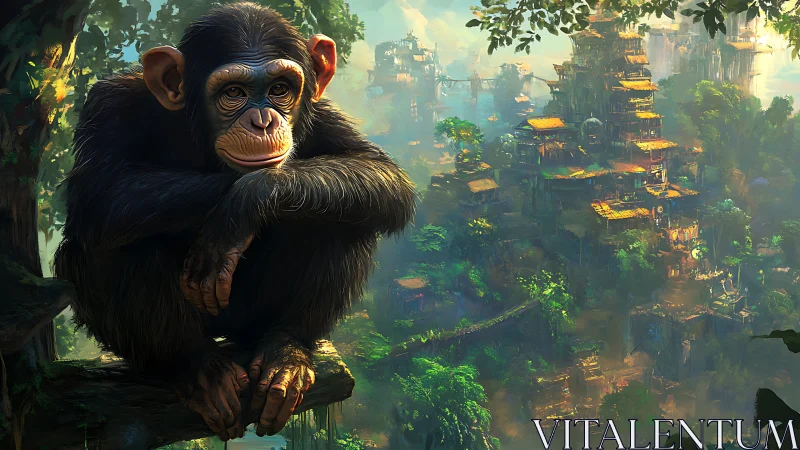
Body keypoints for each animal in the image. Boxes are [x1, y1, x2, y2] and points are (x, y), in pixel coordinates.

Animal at [54, 3, 415, 441]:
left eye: (280, 89)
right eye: (233, 93)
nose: (263, 121)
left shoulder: (322, 115)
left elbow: (381, 174)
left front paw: (248, 201)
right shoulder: (110, 104)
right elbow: (100, 193)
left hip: (253, 318)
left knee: (344, 219)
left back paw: (287, 351)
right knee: (105, 242)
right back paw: (196, 368)